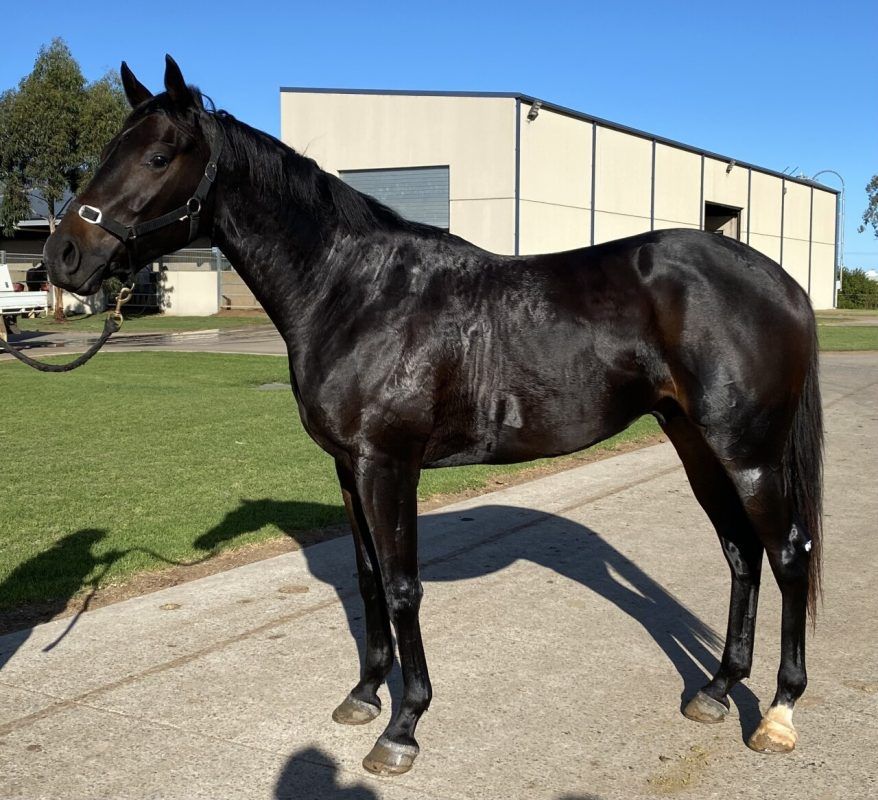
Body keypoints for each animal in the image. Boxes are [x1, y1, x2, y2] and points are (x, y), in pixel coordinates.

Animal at [41, 57, 824, 776]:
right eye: (109, 149)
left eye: (158, 156)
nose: (63, 256)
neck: (355, 292)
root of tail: (778, 280)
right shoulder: (348, 468)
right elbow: (367, 580)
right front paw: (364, 695)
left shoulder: (389, 464)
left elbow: (402, 587)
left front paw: (404, 726)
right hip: (695, 442)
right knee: (741, 553)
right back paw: (716, 690)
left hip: (748, 452)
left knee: (787, 554)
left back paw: (779, 712)